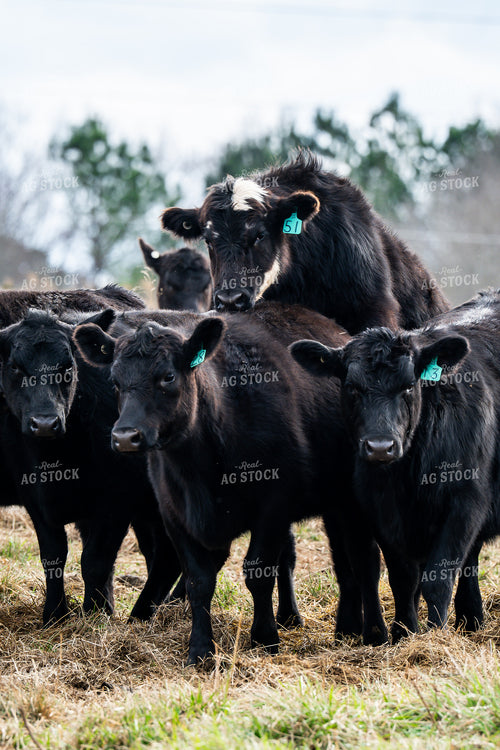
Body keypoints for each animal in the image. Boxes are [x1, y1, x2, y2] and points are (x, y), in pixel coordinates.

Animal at [0, 289, 179, 625]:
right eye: (15, 367)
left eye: (68, 368)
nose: (45, 423)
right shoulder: (35, 499)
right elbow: (53, 556)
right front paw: (54, 614)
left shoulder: (116, 502)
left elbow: (95, 561)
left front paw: (96, 615)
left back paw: (143, 615)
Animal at [74, 301, 387, 664]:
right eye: (115, 380)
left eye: (168, 376)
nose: (125, 436)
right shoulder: (174, 514)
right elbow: (199, 581)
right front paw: (200, 649)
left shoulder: (273, 506)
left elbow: (258, 572)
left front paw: (265, 638)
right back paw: (329, 625)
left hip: (351, 501)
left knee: (363, 560)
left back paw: (372, 633)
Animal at [290, 289, 500, 641]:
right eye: (352, 387)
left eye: (408, 386)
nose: (379, 446)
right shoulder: (380, 510)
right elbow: (403, 579)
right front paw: (404, 632)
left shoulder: (466, 501)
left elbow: (438, 578)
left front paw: (434, 635)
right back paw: (471, 618)